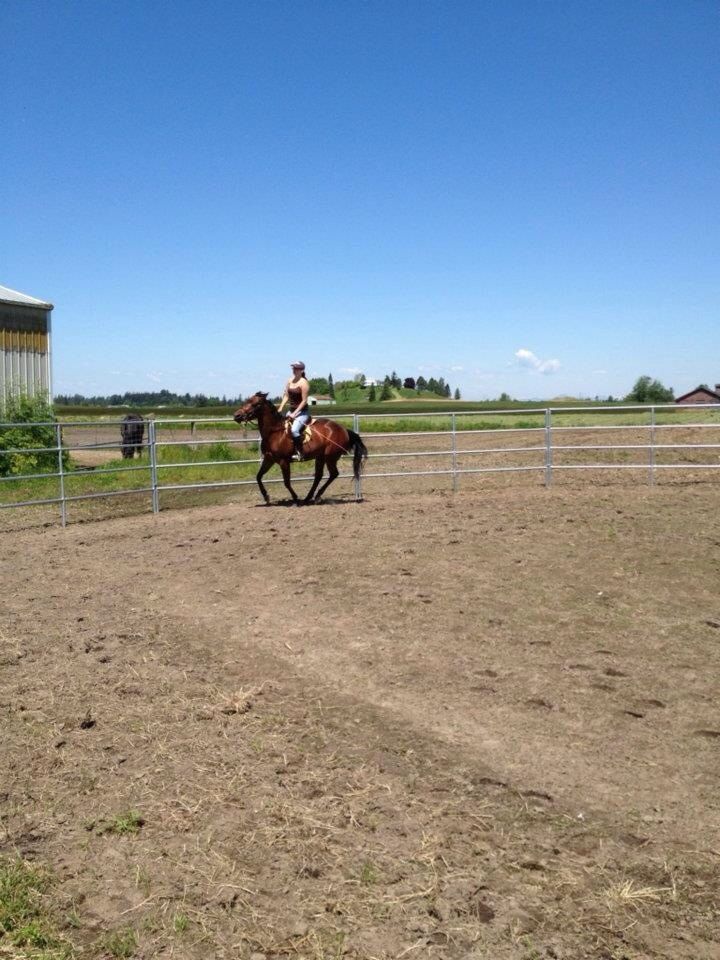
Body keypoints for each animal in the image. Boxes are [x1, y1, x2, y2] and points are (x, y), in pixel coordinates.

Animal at [233, 392, 368, 505]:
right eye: (247, 401)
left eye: (255, 404)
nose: (237, 415)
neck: (274, 432)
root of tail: (344, 429)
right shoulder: (269, 459)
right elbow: (258, 477)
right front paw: (266, 497)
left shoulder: (283, 461)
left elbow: (287, 482)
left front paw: (295, 498)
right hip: (320, 457)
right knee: (319, 476)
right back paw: (309, 498)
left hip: (330, 457)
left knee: (333, 474)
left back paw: (315, 497)